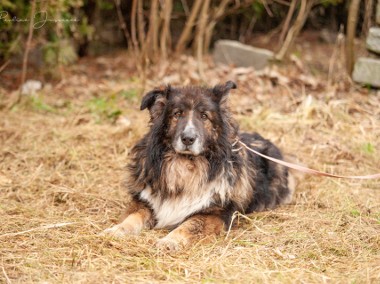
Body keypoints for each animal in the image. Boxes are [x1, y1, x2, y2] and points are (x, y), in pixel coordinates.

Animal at [102, 80, 296, 251]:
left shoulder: (215, 213)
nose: (188, 138)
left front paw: (170, 241)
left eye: (204, 116)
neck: (185, 164)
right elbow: (133, 217)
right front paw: (116, 230)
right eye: (177, 114)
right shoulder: (145, 200)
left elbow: (190, 224)